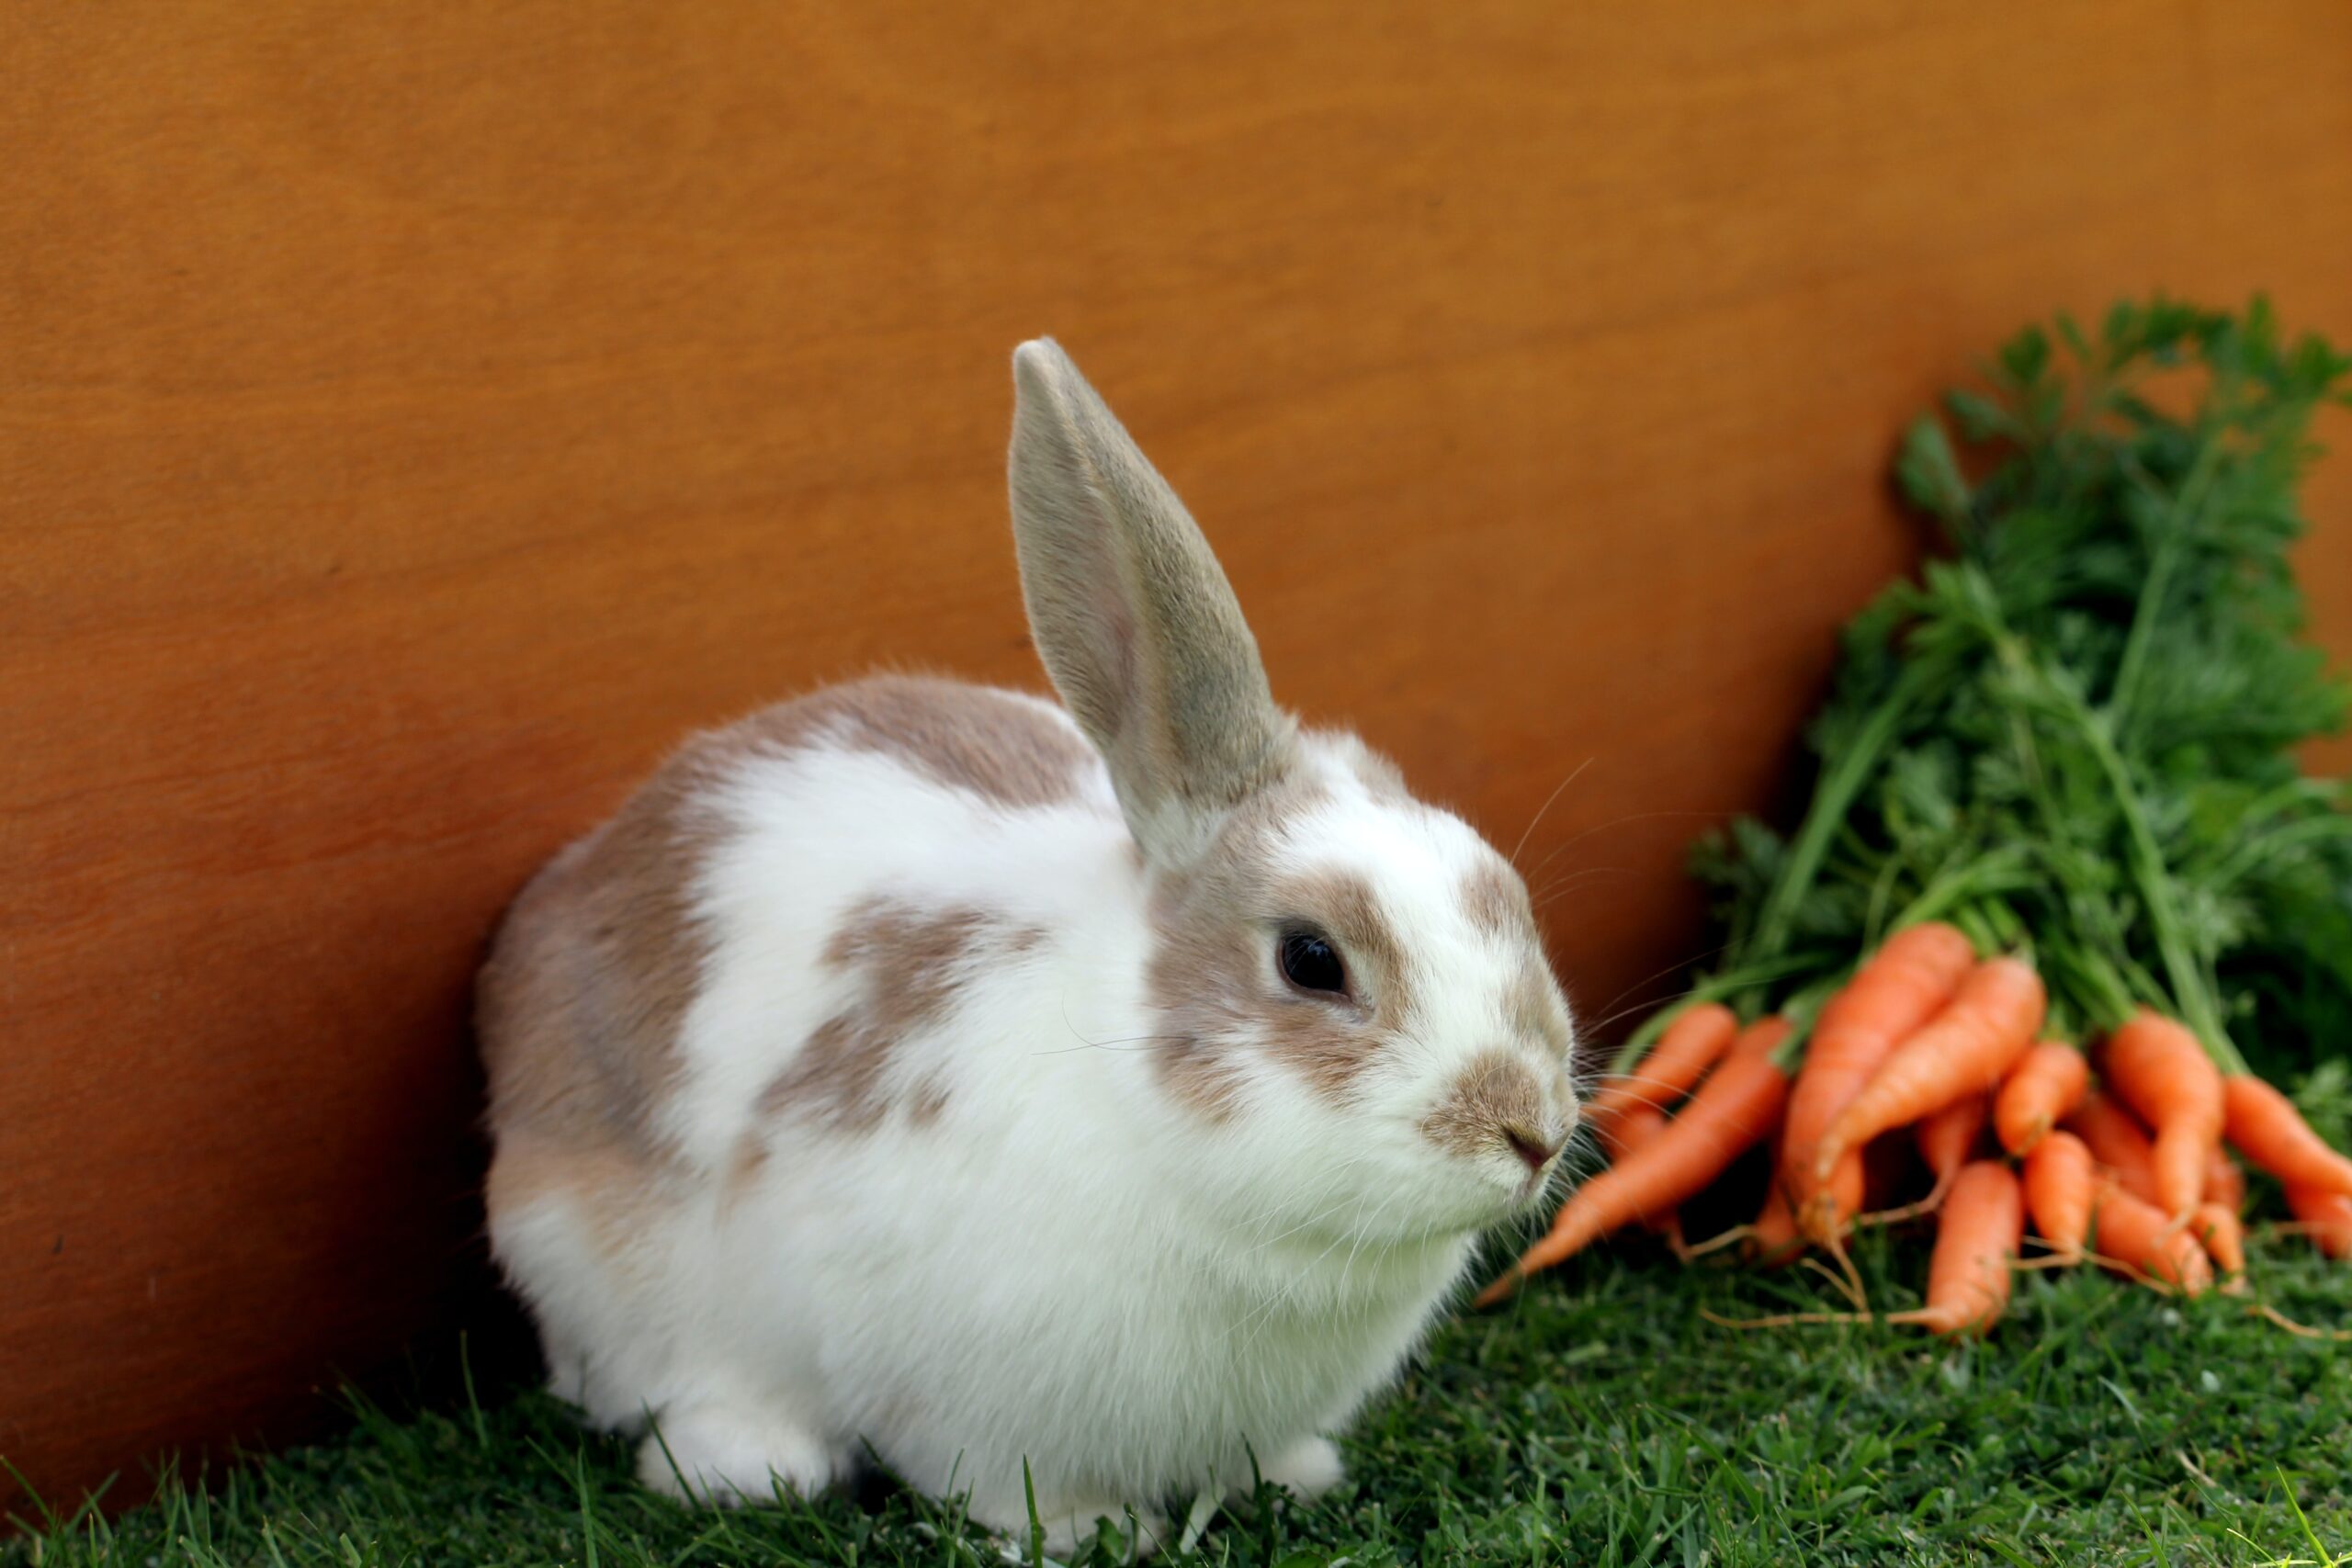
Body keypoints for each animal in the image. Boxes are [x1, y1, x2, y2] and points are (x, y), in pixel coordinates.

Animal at [475, 338, 1581, 1554]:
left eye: (1502, 890)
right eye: (1310, 960)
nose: (1532, 1131)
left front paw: (1295, 1475)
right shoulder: (948, 1386)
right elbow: (1000, 1476)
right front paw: (1090, 1533)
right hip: (588, 1259)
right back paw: (750, 1463)